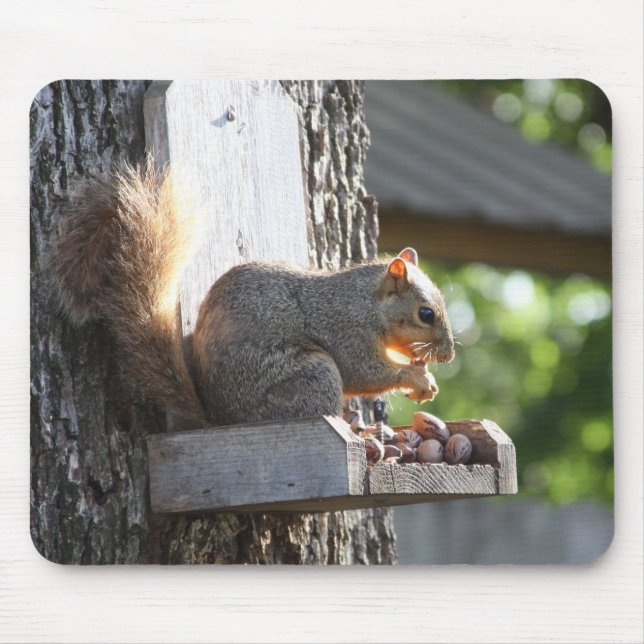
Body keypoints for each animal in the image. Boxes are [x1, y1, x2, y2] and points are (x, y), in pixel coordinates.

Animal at [52, 160, 455, 430]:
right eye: (426, 314)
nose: (448, 356)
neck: (368, 303)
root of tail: (221, 420)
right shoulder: (345, 328)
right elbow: (364, 371)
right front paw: (417, 378)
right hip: (311, 376)